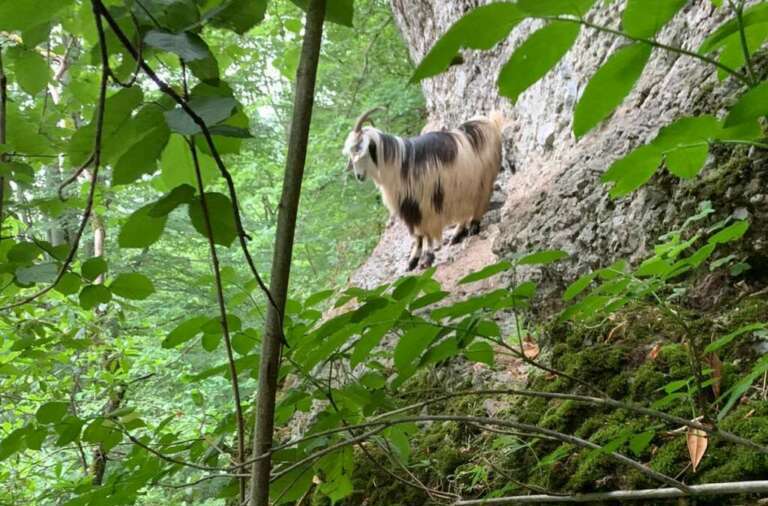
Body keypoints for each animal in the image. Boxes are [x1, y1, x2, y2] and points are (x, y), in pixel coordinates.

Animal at [342, 108, 504, 270]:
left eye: (359, 149)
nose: (359, 176)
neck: (399, 164)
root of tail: (489, 121)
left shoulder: (425, 201)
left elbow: (426, 230)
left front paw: (427, 258)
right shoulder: (410, 206)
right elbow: (417, 234)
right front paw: (413, 261)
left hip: (484, 179)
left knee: (481, 201)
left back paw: (473, 227)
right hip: (464, 188)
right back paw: (457, 234)